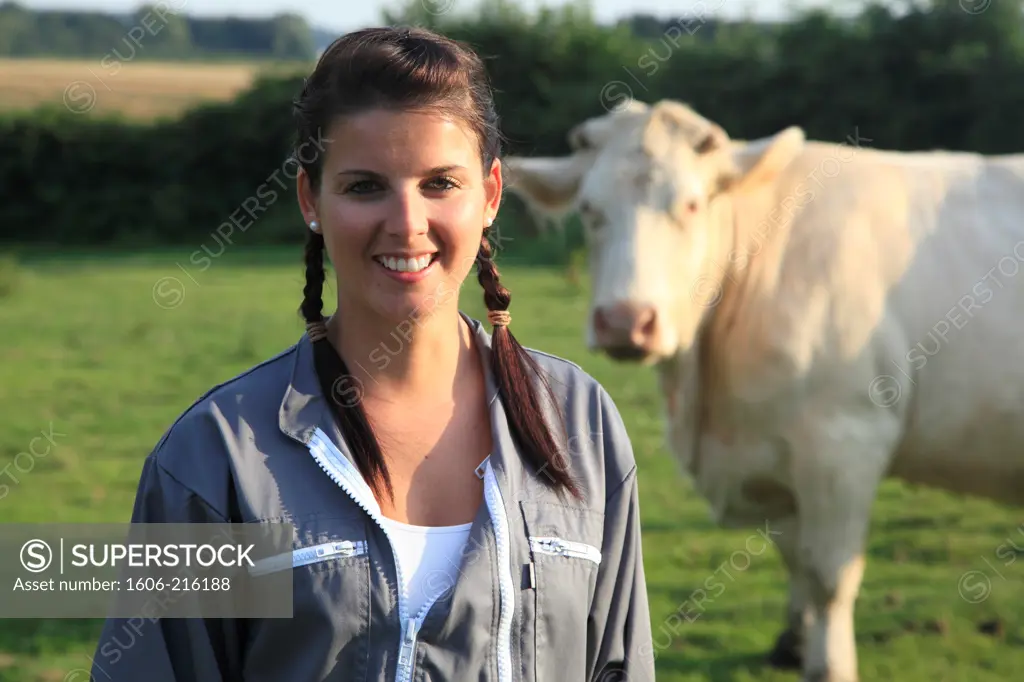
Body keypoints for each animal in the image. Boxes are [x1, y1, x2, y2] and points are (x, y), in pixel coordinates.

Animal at [505, 99, 1024, 679]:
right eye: (590, 210)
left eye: (691, 204)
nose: (624, 321)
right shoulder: (777, 453)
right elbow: (795, 558)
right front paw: (793, 643)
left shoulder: (844, 443)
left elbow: (828, 576)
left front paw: (829, 664)